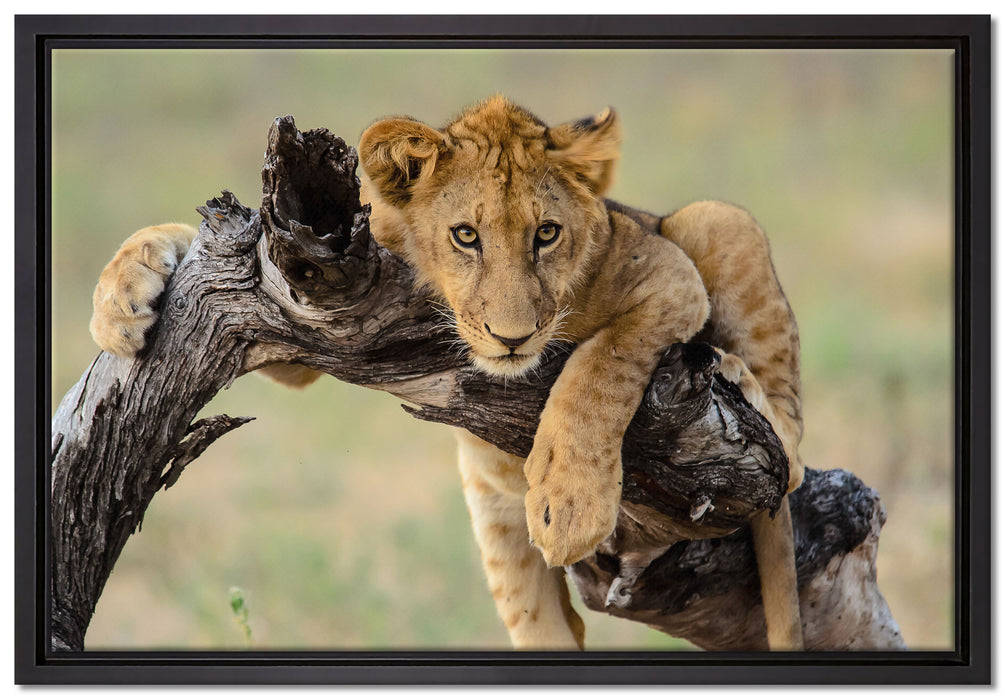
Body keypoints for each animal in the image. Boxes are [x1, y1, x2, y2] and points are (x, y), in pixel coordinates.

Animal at [90, 96, 805, 651]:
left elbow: (599, 367)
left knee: (790, 455)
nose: (512, 337)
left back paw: (738, 379)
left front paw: (570, 502)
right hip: (502, 543)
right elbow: (198, 245)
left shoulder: (671, 280)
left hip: (716, 220)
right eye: (465, 236)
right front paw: (121, 297)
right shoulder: (311, 297)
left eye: (547, 234)